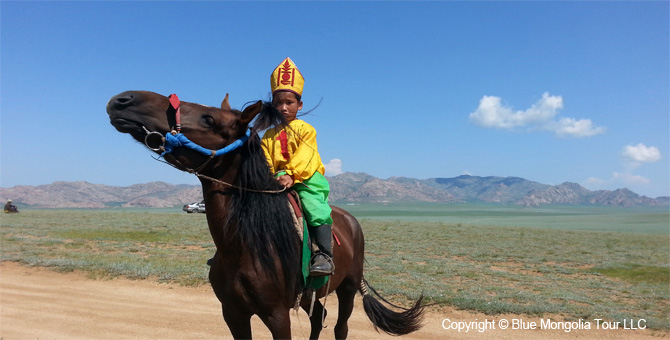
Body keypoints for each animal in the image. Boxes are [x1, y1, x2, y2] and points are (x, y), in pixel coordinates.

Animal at [108, 91, 428, 340]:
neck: (244, 246)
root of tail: (350, 221)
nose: (123, 100)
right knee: (319, 318)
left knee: (340, 327)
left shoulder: (277, 314)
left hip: (347, 288)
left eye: (209, 119)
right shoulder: (233, 313)